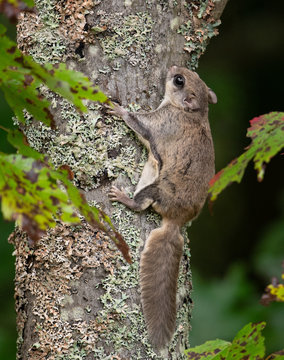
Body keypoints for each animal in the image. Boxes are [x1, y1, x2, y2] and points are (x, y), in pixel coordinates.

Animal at [107, 66, 216, 350]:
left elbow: (139, 124)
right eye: (185, 76)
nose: (174, 68)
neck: (192, 113)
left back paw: (124, 198)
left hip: (155, 188)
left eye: (179, 81)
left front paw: (118, 110)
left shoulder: (162, 123)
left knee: (142, 204)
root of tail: (175, 221)